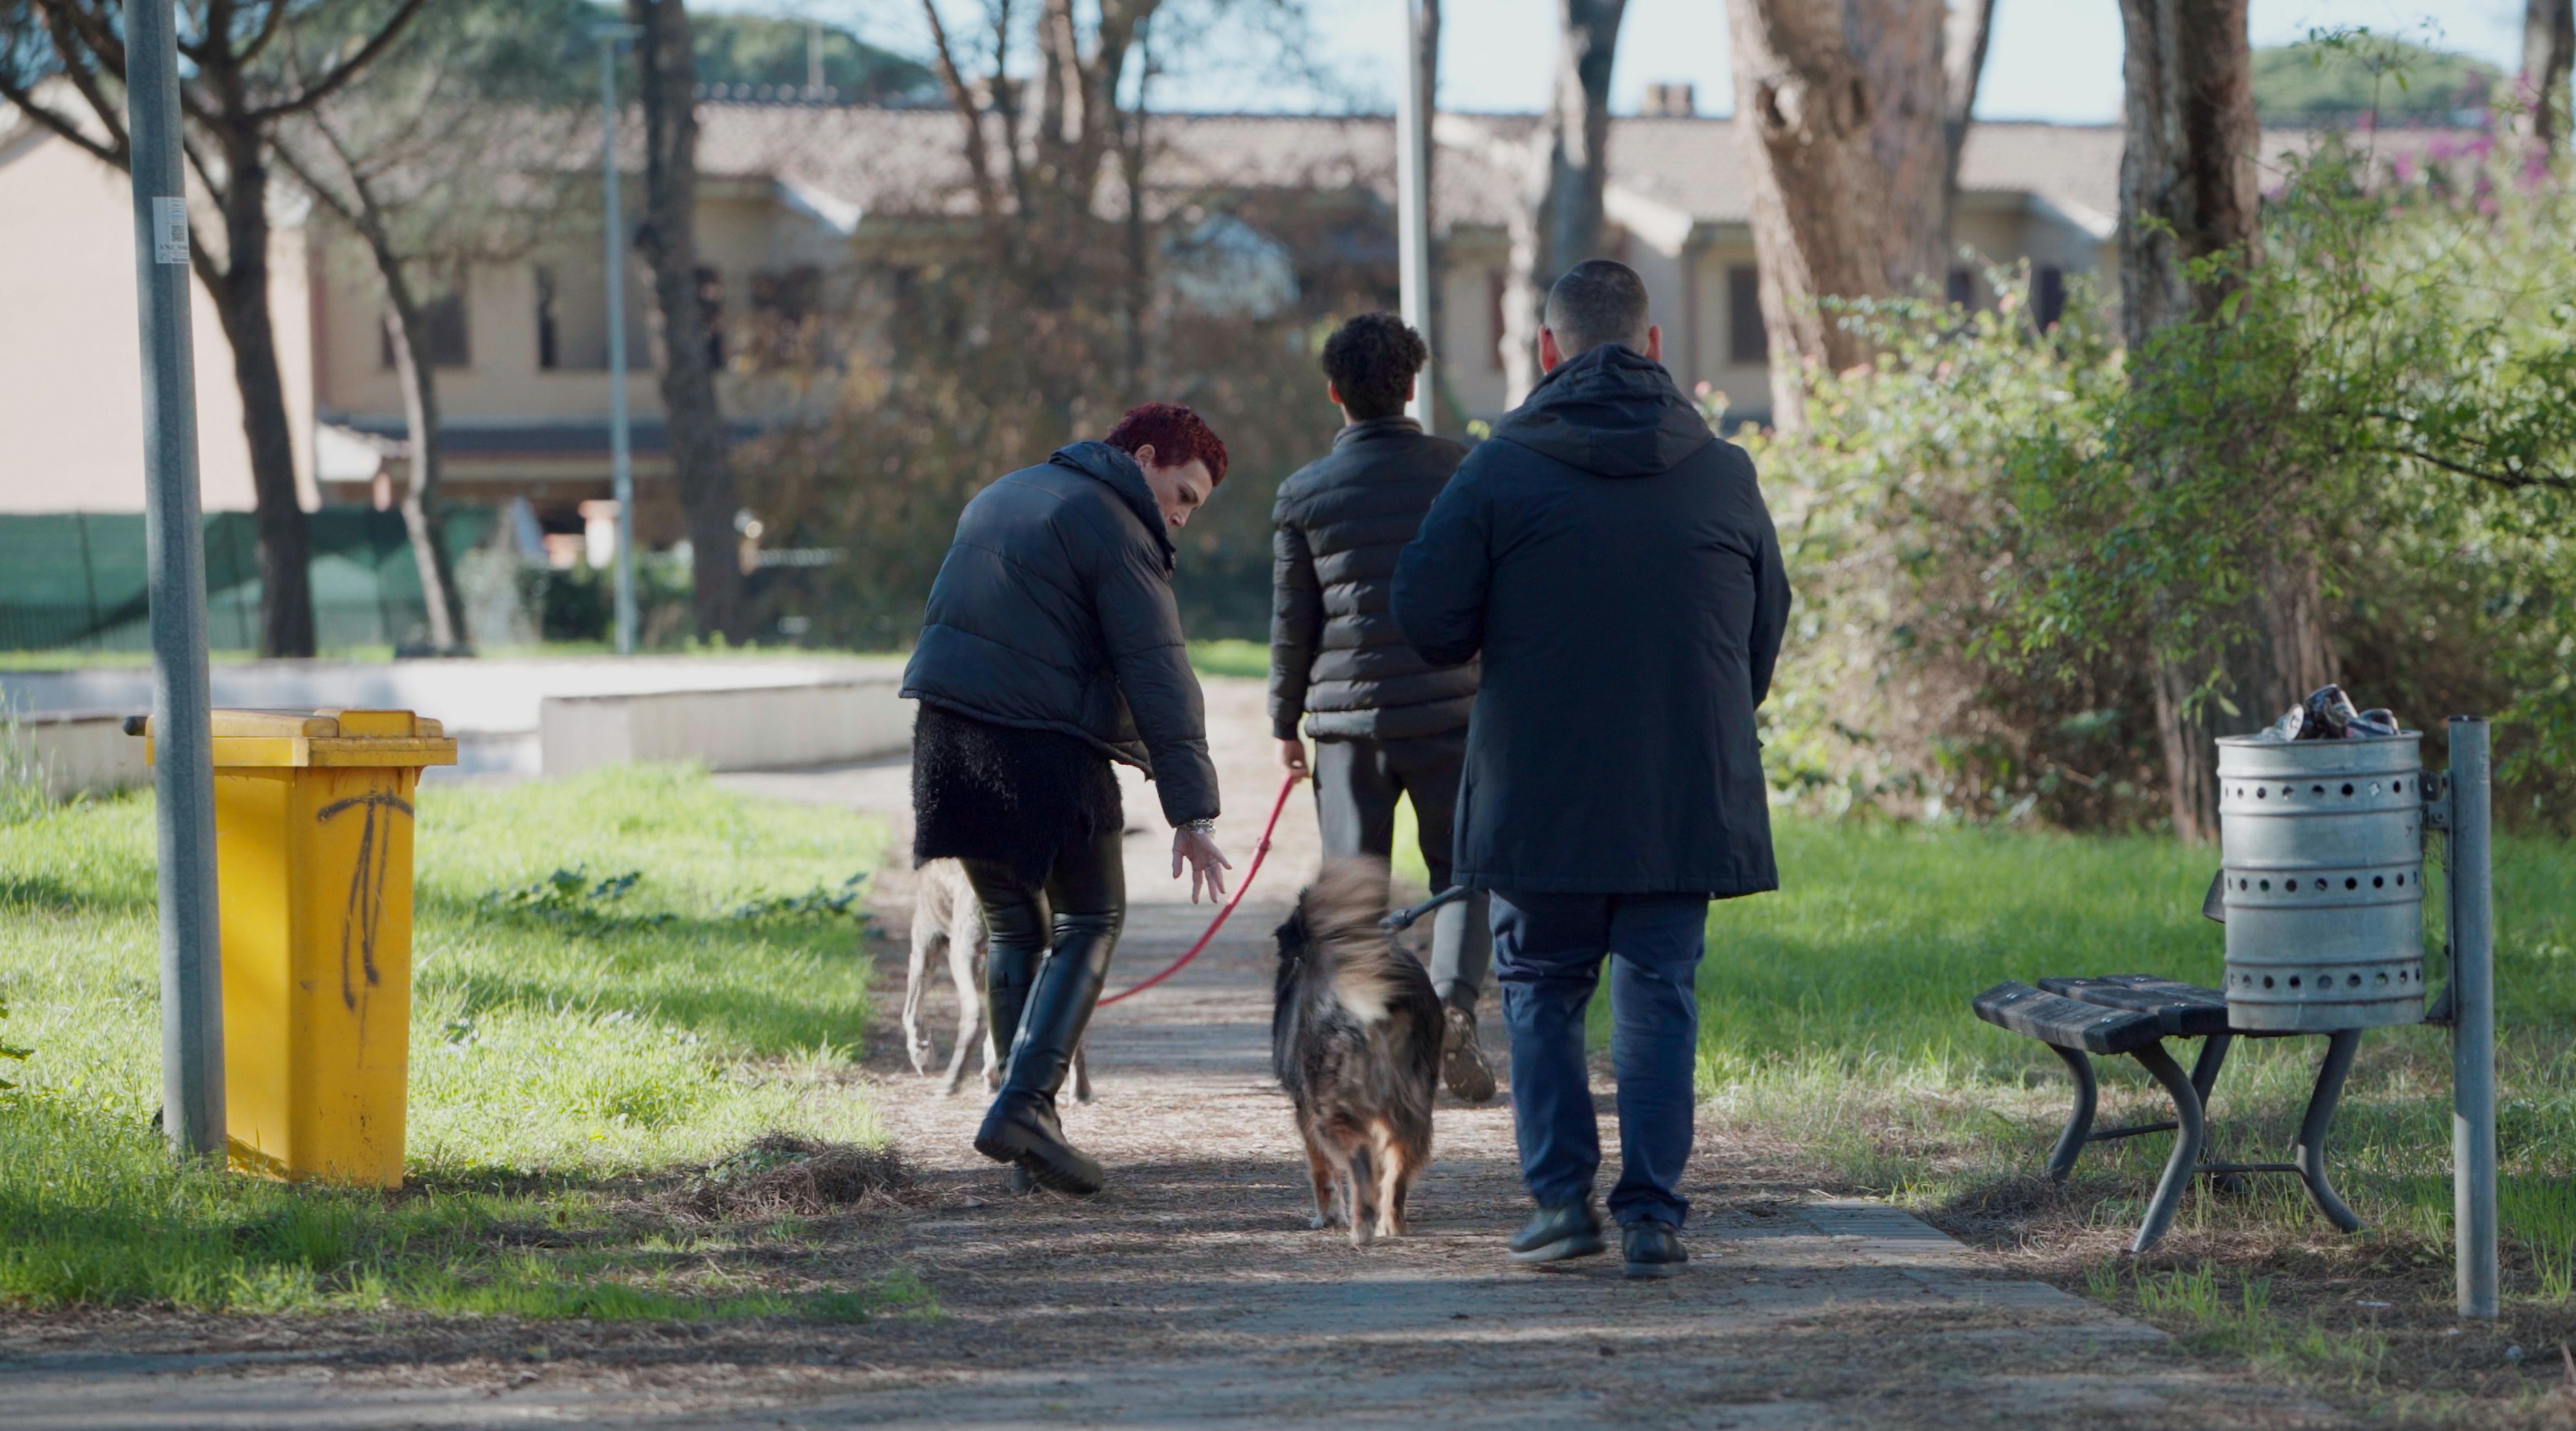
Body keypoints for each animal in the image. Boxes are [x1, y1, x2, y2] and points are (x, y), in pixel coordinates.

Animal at [907, 854, 1087, 1101]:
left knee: (973, 1016)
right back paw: (1081, 1092)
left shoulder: (926, 937)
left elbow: (911, 1012)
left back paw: (951, 1082)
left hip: (963, 952)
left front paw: (921, 1055)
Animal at [1272, 854, 1453, 1245]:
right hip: (1412, 1099)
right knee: (1397, 1164)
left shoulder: (1303, 1108)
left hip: (1332, 1100)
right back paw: (1391, 1224)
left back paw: (1362, 1227)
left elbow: (1321, 1170)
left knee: (1358, 1160)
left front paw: (1326, 1216)